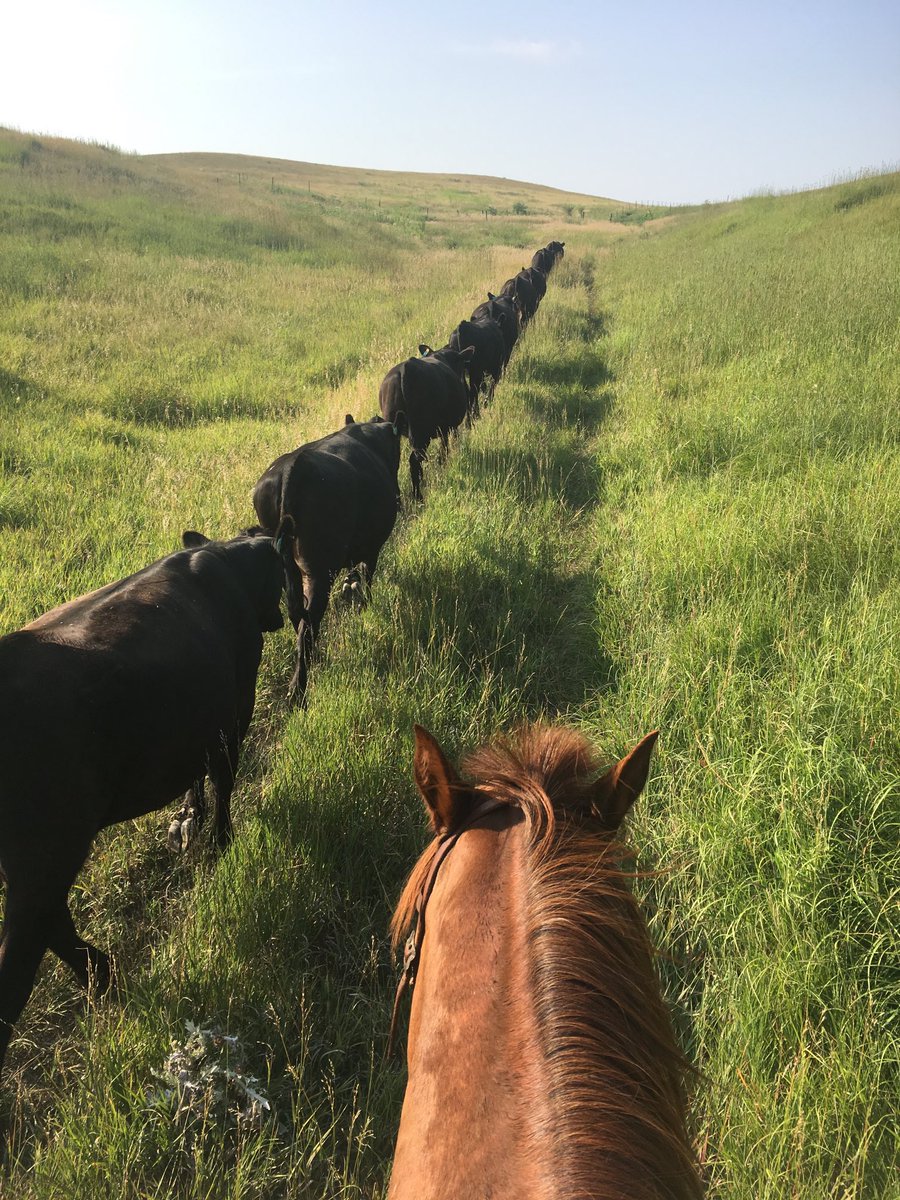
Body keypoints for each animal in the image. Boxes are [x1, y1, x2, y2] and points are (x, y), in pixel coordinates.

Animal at [0, 530, 286, 1075]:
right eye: (281, 576)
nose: (281, 614)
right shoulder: (232, 713)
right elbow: (223, 785)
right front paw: (218, 842)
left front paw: (189, 820)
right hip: (48, 849)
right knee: (27, 943)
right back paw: (100, 976)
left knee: (49, 923)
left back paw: (102, 975)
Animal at [252, 414, 405, 699]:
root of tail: (293, 468)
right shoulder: (373, 549)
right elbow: (367, 577)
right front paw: (363, 604)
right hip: (318, 571)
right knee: (308, 621)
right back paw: (298, 690)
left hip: (290, 569)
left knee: (299, 619)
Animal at [379, 347, 474, 502]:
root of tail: (407, 368)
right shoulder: (447, 427)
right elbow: (444, 448)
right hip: (422, 432)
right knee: (415, 460)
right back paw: (418, 496)